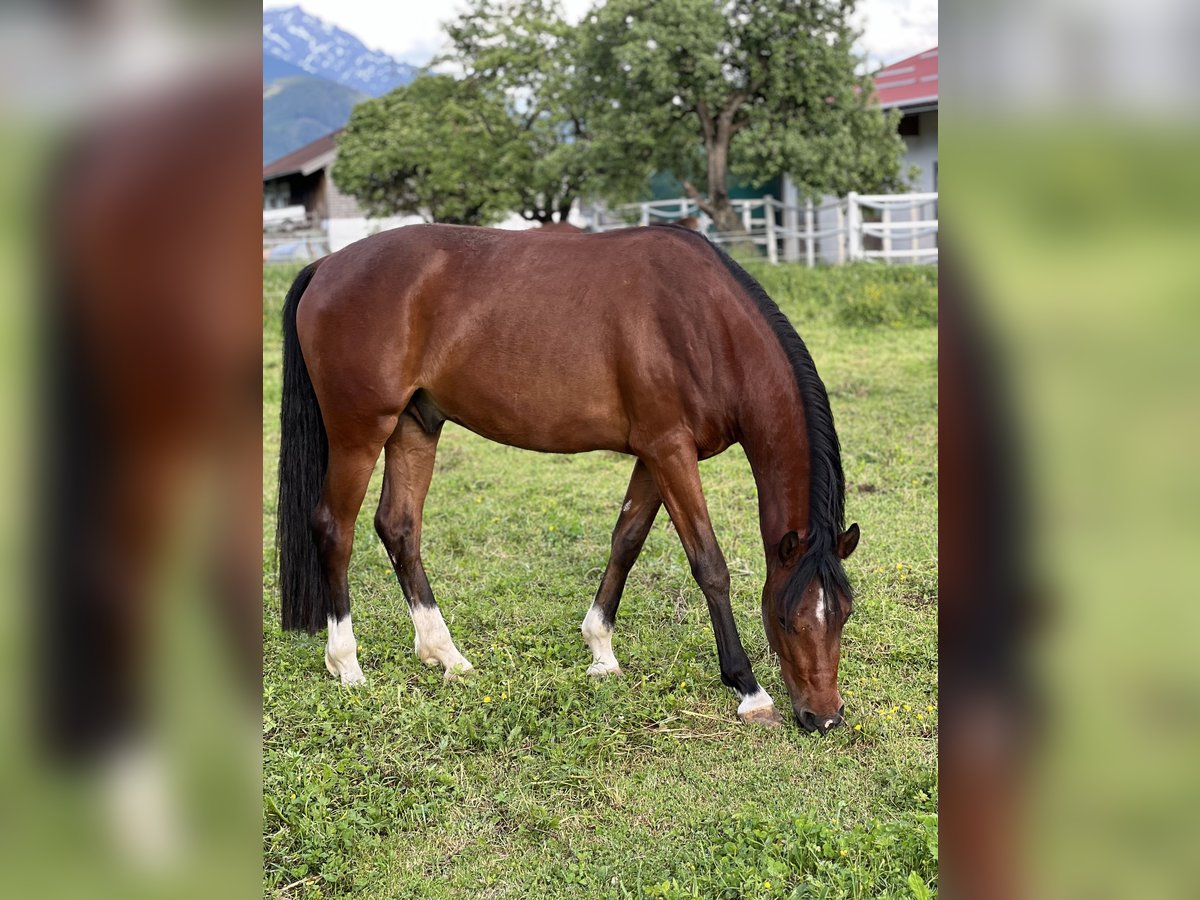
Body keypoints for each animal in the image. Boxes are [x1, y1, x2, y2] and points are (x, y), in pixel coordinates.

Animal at [276, 224, 859, 734]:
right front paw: (748, 690)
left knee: (398, 528)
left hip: (414, 426)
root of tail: (328, 264)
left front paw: (601, 649)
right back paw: (347, 665)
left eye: (844, 616)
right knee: (334, 529)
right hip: (360, 432)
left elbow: (626, 540)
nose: (825, 717)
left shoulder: (655, 453)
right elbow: (709, 565)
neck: (705, 322)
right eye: (787, 620)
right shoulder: (670, 451)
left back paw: (447, 656)